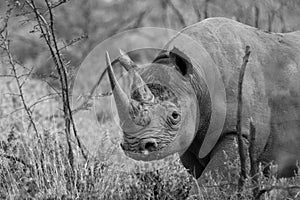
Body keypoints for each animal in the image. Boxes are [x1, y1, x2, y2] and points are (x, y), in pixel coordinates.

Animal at [105, 17, 300, 180]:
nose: (133, 146)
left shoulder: (240, 132)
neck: (196, 79)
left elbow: (209, 180)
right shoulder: (190, 139)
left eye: (175, 116)